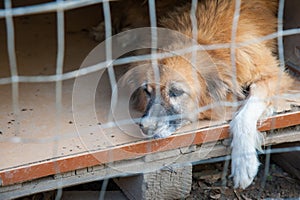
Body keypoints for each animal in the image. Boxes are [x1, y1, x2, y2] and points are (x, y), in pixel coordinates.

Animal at [93, 0, 292, 189]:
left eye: (176, 92)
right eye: (147, 91)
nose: (145, 127)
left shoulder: (275, 76)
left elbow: (243, 116)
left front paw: (244, 162)